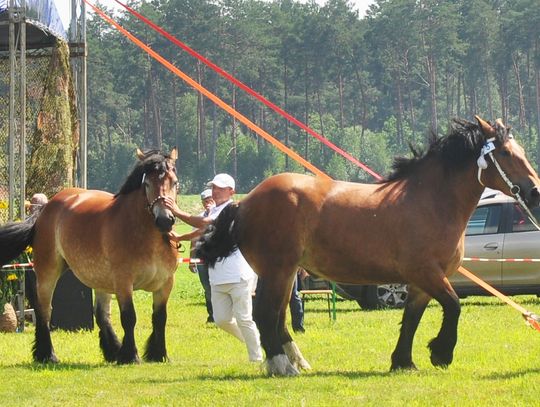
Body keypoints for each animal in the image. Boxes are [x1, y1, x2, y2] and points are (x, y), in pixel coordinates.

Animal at [0, 148, 179, 364]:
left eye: (175, 182)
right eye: (147, 184)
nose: (165, 220)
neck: (146, 236)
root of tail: (45, 208)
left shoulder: (165, 283)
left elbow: (160, 318)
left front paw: (158, 354)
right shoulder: (123, 282)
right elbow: (129, 317)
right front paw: (131, 355)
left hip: (101, 280)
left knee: (102, 315)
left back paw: (113, 351)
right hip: (47, 272)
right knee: (44, 310)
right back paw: (47, 355)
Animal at [197, 117, 540, 376]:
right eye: (505, 153)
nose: (534, 191)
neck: (429, 202)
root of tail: (245, 203)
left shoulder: (422, 282)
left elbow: (411, 319)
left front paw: (403, 362)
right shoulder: (426, 272)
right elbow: (454, 306)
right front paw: (441, 353)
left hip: (284, 273)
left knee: (278, 317)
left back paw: (296, 361)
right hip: (277, 270)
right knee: (265, 313)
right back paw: (283, 366)